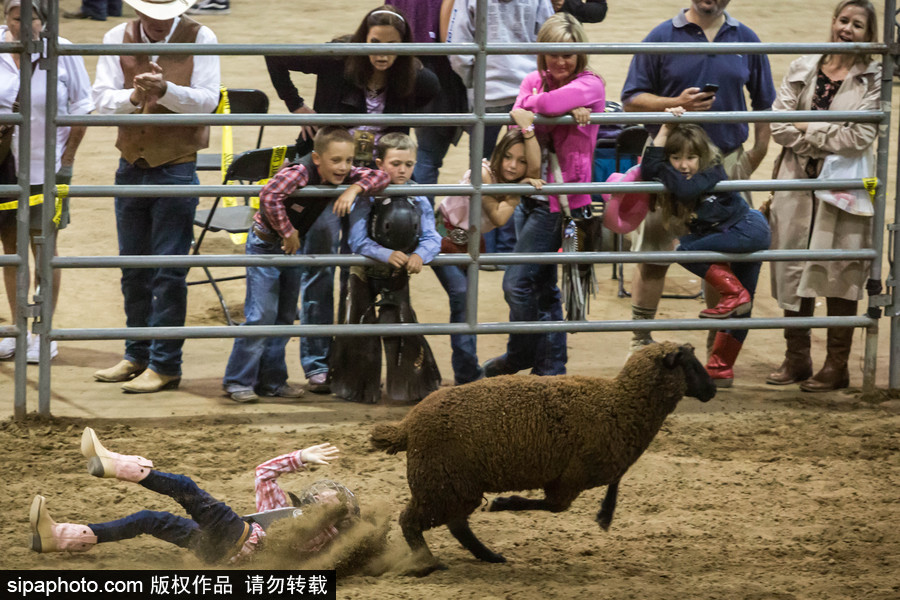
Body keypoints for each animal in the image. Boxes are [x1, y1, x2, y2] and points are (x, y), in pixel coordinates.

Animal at [370, 342, 712, 572]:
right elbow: (555, 506)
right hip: (440, 484)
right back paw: (428, 562)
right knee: (411, 521)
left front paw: (605, 515)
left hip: (454, 487)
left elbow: (611, 483)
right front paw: (504, 503)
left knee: (456, 525)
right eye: (692, 364)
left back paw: (489, 556)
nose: (711, 391)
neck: (620, 403)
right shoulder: (570, 478)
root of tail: (407, 427)